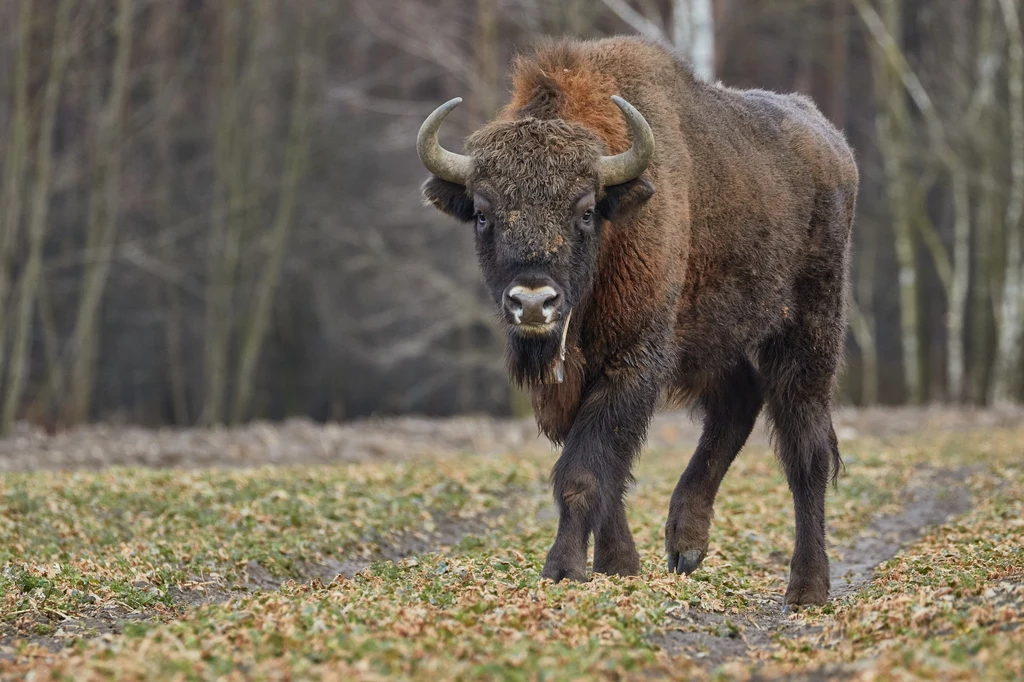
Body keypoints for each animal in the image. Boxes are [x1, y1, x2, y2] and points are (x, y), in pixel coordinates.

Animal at [413, 34, 856, 602]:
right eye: (484, 214)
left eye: (584, 211)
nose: (533, 302)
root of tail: (833, 144)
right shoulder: (574, 382)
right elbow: (606, 468)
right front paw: (618, 565)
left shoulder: (634, 358)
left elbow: (585, 470)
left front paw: (564, 569)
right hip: (711, 339)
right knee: (738, 403)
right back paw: (686, 545)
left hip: (808, 327)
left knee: (807, 448)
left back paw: (807, 588)